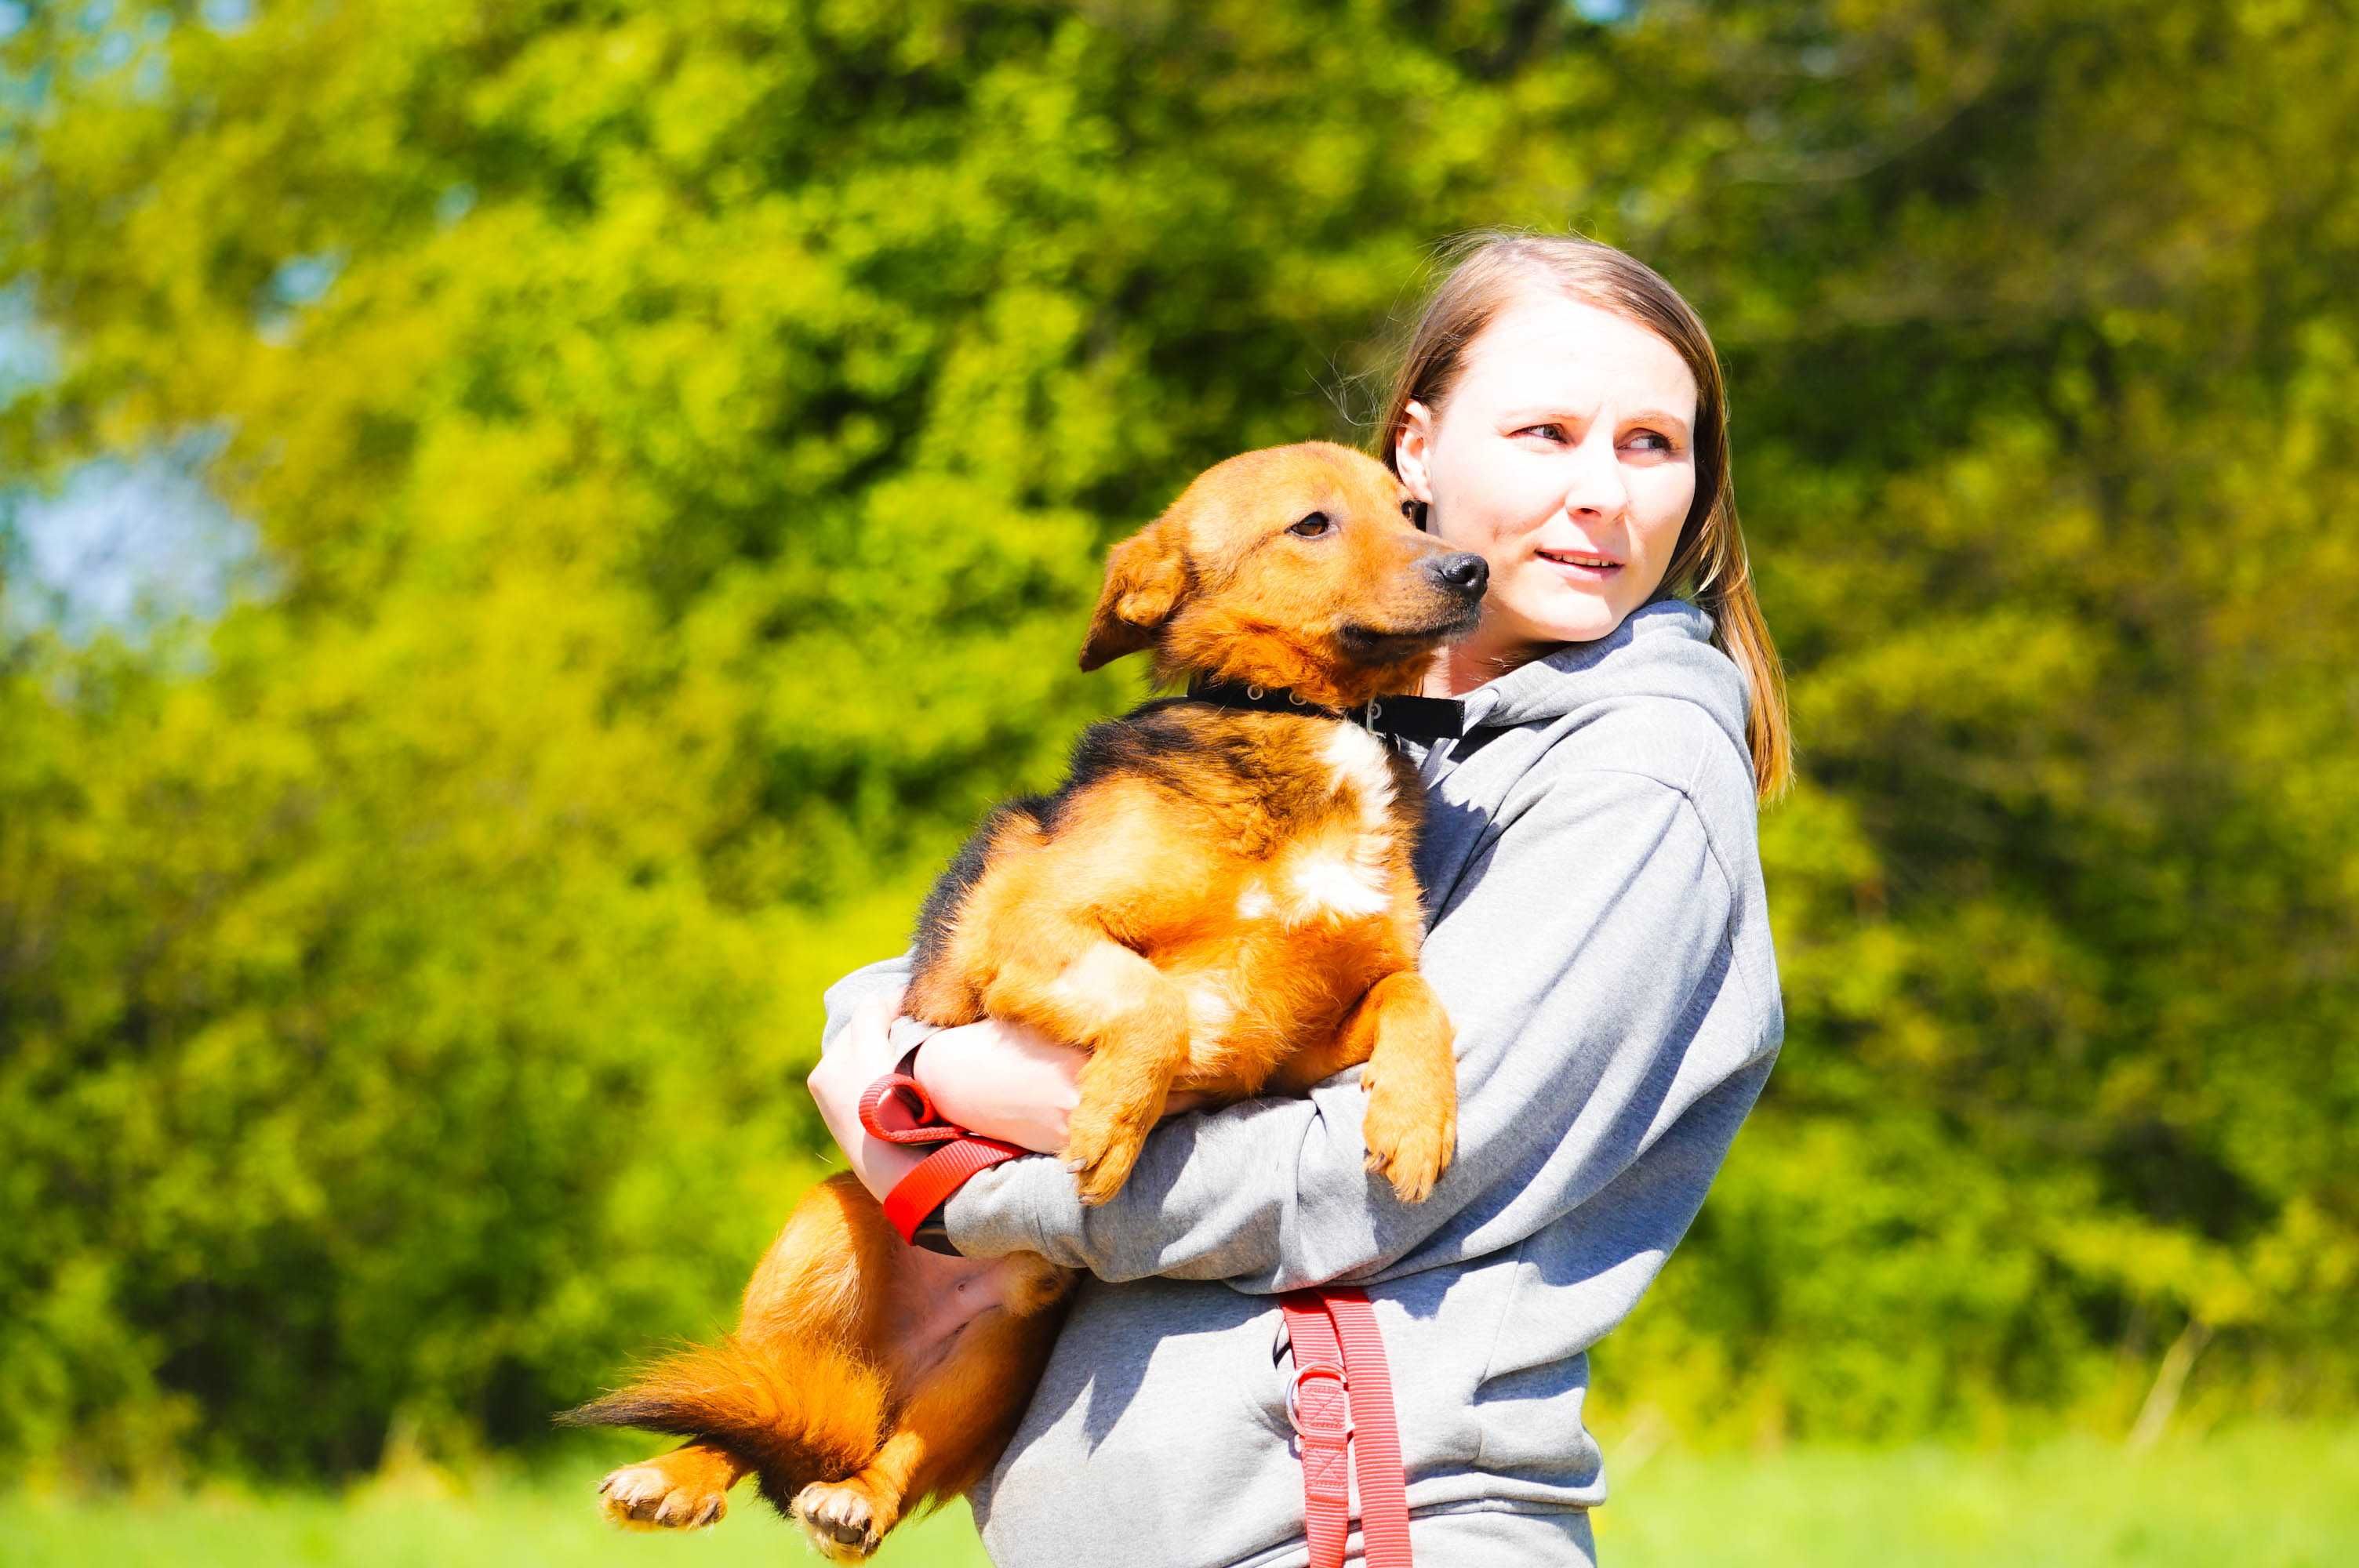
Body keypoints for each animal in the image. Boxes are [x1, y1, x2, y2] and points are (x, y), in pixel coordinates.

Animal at [563, 436, 1481, 1555]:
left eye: (1408, 508)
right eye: (1312, 524)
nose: (1470, 569)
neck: (1302, 719)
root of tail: (875, 1382)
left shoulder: (1293, 1038)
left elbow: (1413, 993)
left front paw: (1415, 1122)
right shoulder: (1039, 930)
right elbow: (1152, 1001)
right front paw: (1110, 1121)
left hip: (994, 1361)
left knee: (889, 1461)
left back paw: (852, 1497)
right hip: (817, 1236)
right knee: (741, 1400)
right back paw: (677, 1474)